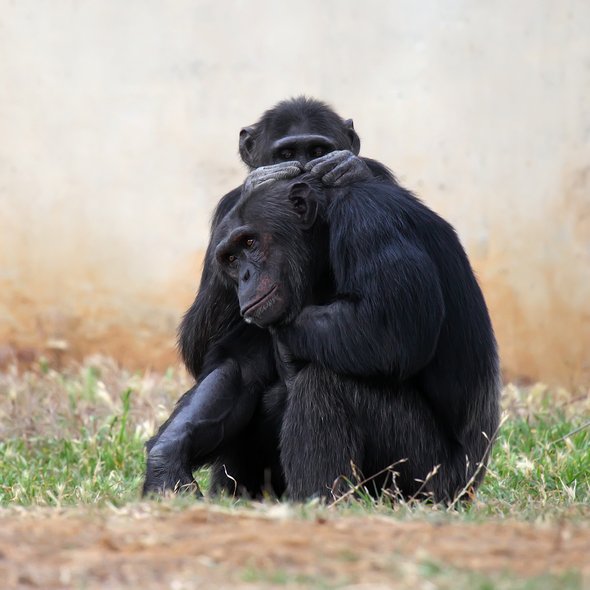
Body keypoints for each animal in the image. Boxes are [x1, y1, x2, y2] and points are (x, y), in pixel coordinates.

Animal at [142, 98, 398, 500]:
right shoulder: (226, 211)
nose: (302, 173)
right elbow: (201, 349)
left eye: (318, 152)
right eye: (286, 155)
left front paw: (347, 169)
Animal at [215, 177, 502, 504]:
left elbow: (389, 329)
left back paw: (321, 501)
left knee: (323, 383)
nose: (245, 276)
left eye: (250, 243)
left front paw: (283, 339)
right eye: (231, 259)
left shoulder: (368, 222)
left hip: (428, 478)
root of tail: (469, 488)